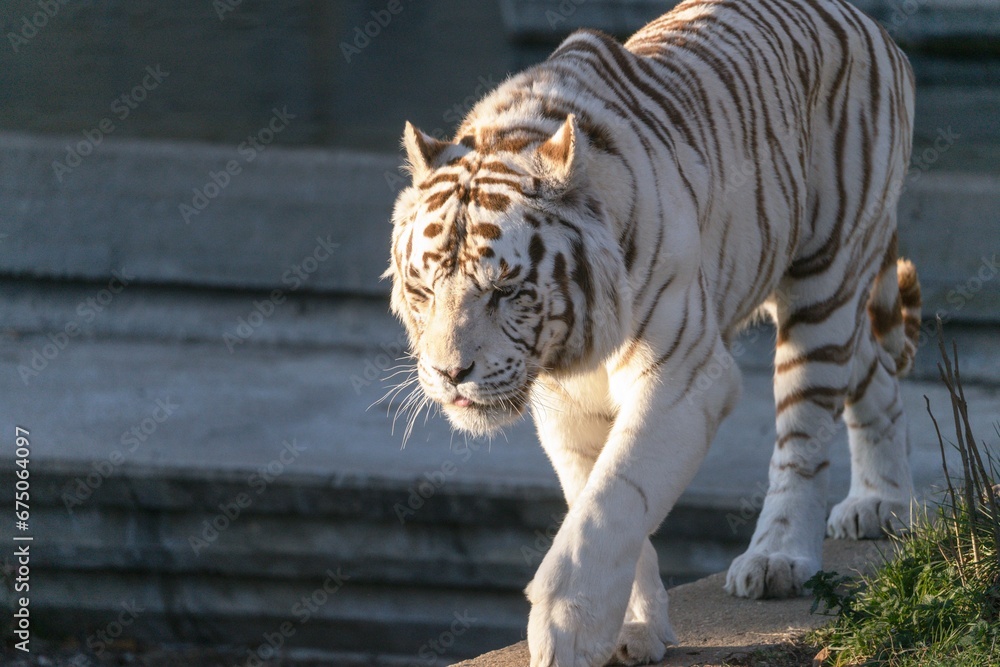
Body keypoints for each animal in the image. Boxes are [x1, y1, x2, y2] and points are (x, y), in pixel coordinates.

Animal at [384, 0, 920, 664]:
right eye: (423, 290)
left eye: (505, 290)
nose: (450, 373)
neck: (574, 346)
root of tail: (858, 17)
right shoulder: (567, 404)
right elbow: (599, 499)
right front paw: (631, 630)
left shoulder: (685, 379)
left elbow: (610, 504)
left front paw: (567, 630)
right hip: (839, 299)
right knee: (873, 370)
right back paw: (881, 502)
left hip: (823, 277)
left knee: (804, 431)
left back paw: (778, 558)